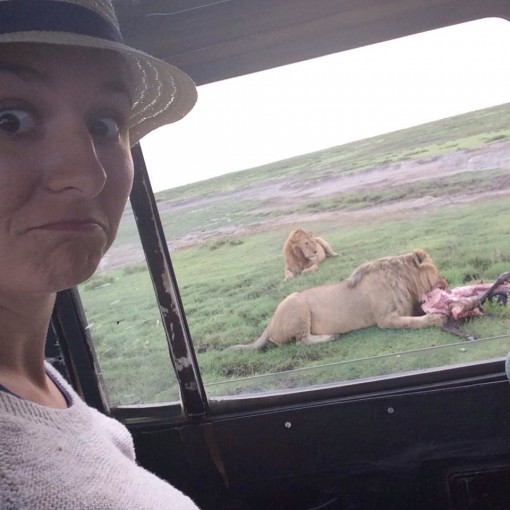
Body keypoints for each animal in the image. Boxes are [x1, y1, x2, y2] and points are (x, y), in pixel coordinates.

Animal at [231, 248, 446, 350]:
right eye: (437, 271)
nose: (445, 283)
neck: (404, 280)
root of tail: (269, 325)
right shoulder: (385, 320)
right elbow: (411, 322)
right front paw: (436, 318)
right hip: (297, 304)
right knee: (302, 341)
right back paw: (331, 337)